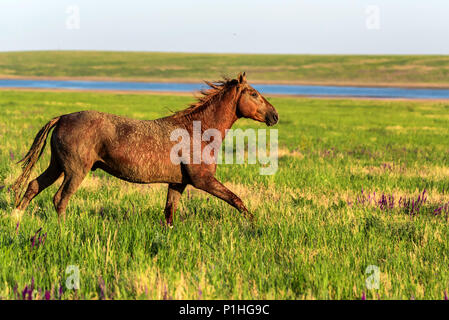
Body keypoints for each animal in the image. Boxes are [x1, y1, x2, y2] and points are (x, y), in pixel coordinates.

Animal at [11, 73, 276, 226]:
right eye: (254, 93)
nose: (274, 115)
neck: (198, 131)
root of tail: (63, 118)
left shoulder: (178, 183)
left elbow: (169, 213)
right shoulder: (203, 180)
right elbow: (236, 200)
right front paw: (255, 225)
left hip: (57, 166)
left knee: (33, 185)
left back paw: (15, 217)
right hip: (75, 171)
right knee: (60, 199)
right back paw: (62, 230)